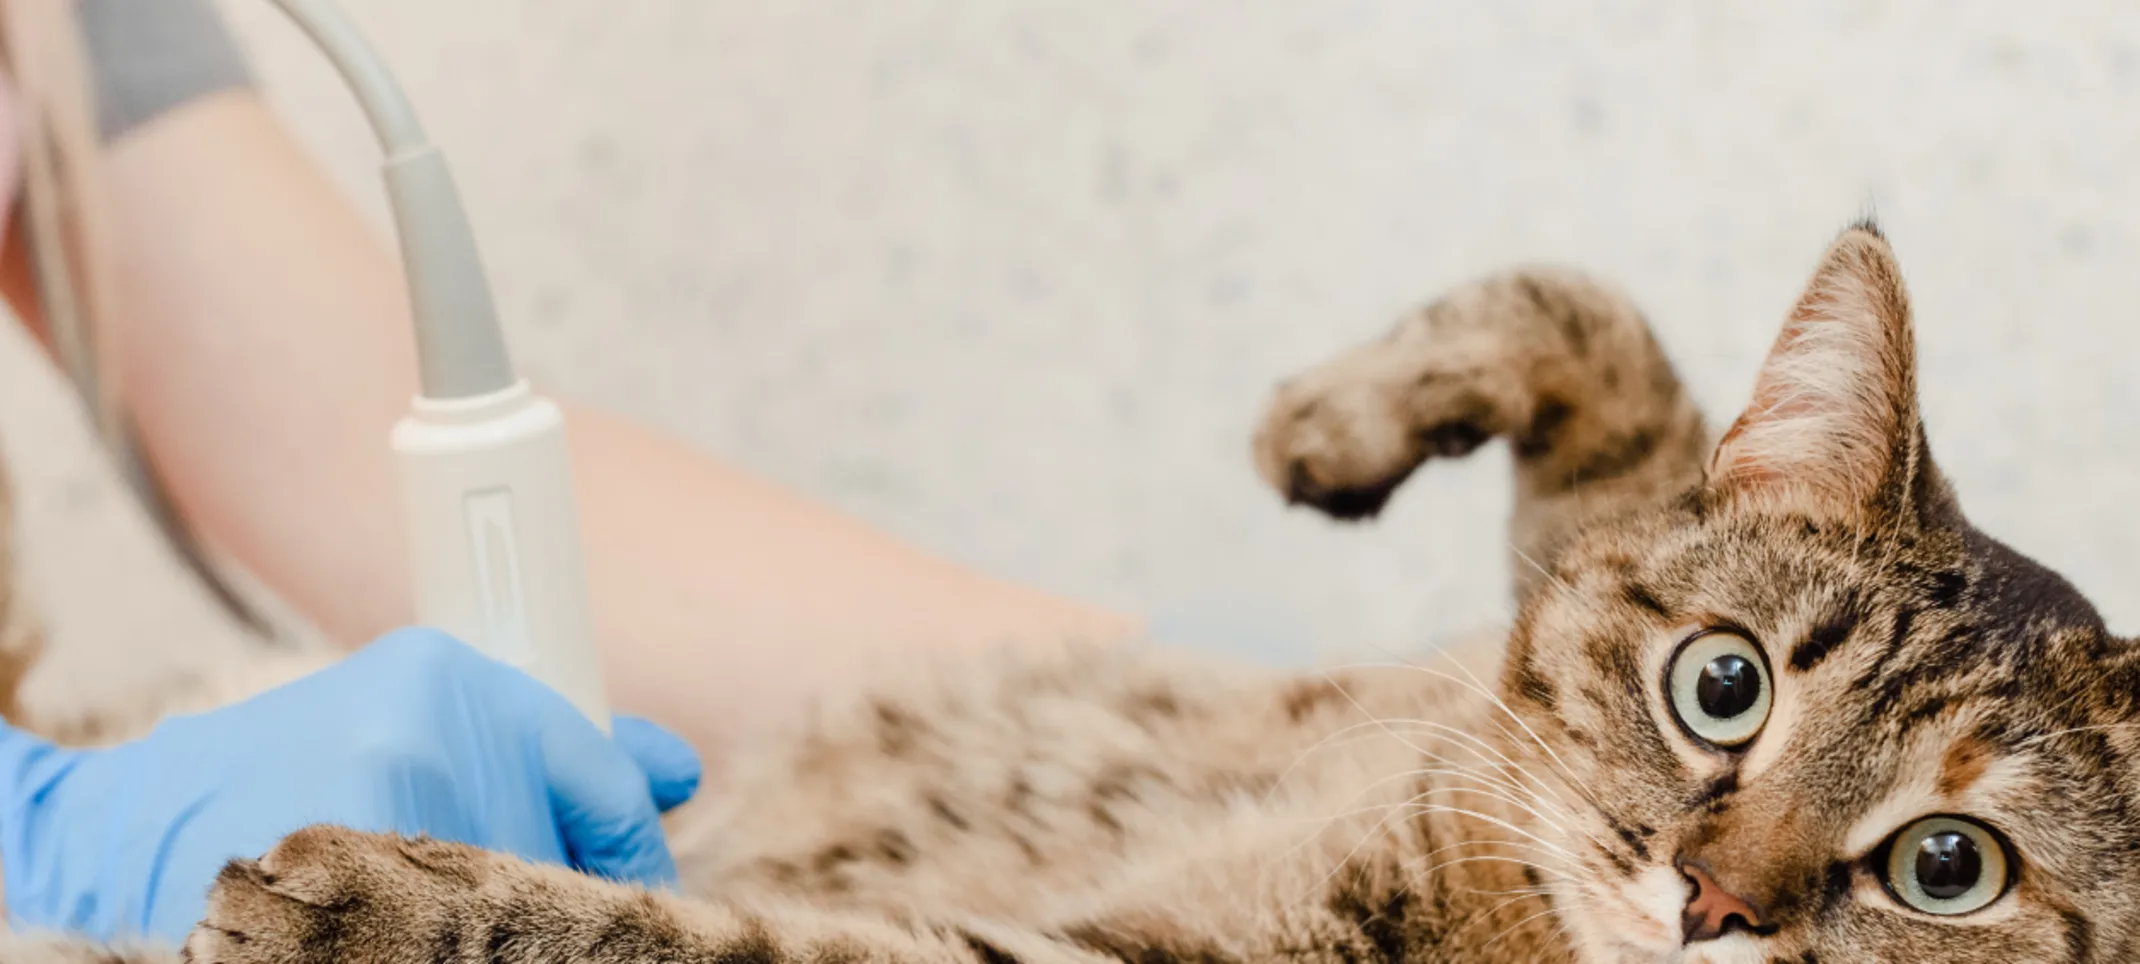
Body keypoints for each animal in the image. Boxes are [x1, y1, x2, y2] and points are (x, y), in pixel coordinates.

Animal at [8, 220, 2131, 964]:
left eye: (1949, 865)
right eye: (1723, 683)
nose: (1706, 903)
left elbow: (723, 939)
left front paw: (399, 898)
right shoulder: (1543, 608)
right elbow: (1596, 323)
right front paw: (1336, 417)